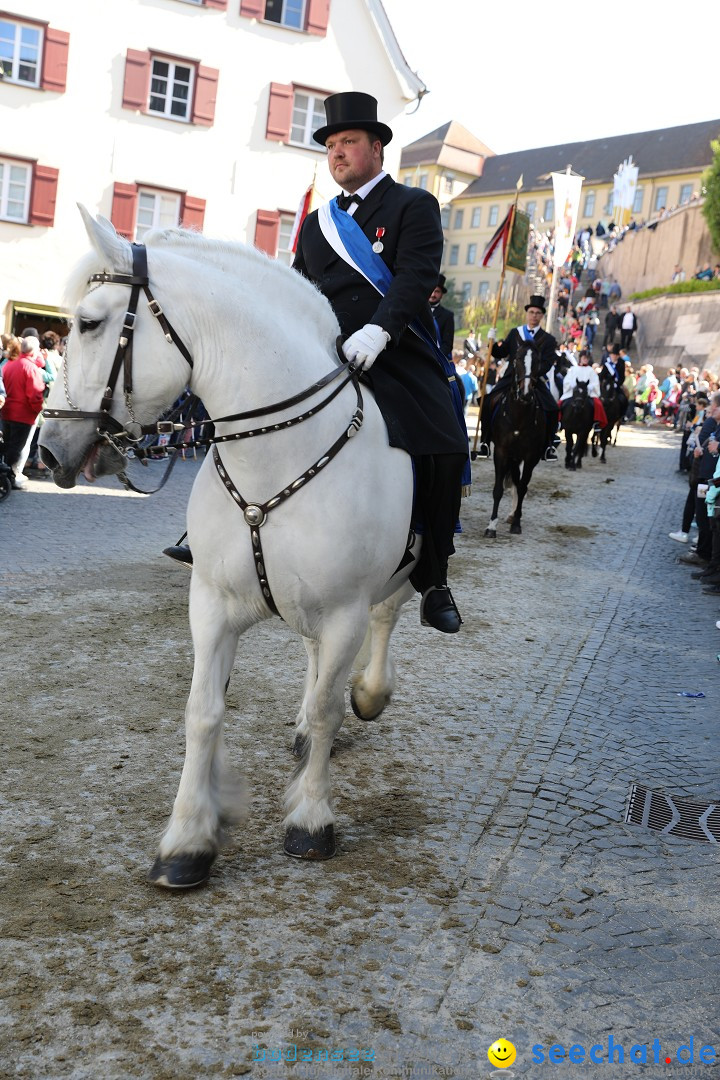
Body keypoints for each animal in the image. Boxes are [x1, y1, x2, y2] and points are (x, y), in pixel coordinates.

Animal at [40, 208, 423, 885]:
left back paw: (368, 695)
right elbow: (204, 711)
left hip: (396, 576)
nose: (48, 450)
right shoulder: (213, 602)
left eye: (88, 323)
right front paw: (188, 839)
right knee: (312, 660)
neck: (276, 454)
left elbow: (330, 707)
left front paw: (310, 819)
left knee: (381, 625)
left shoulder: (345, 610)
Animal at [483, 341, 546, 535]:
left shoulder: (531, 456)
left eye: (538, 361)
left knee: (519, 484)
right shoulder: (502, 452)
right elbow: (498, 489)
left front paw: (517, 523)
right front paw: (491, 526)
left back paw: (513, 516)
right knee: (515, 481)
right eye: (517, 359)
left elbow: (523, 487)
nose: (525, 393)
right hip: (513, 457)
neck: (519, 415)